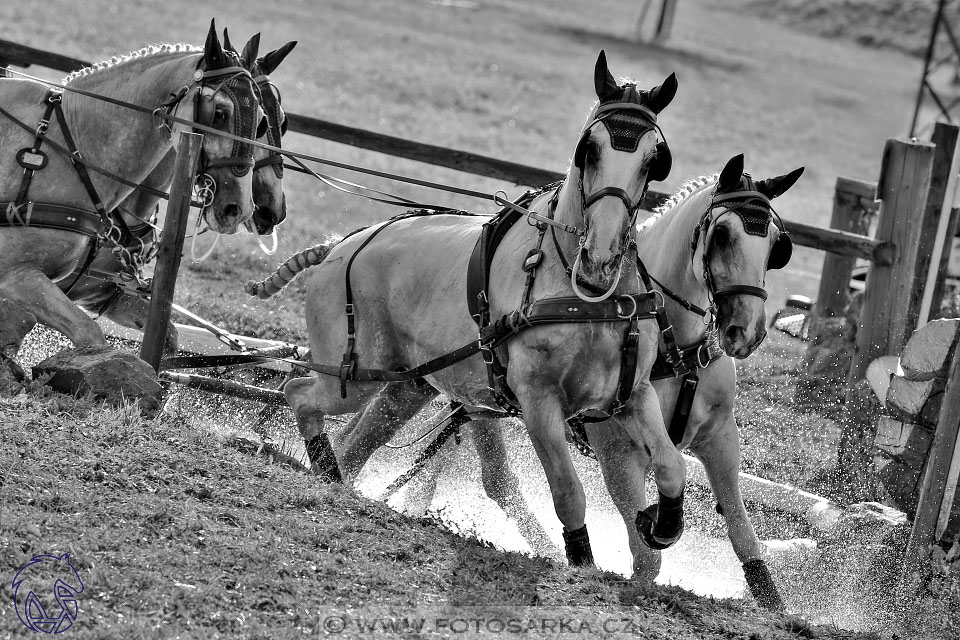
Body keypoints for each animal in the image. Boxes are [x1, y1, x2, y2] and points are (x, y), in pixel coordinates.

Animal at [251, 52, 688, 568]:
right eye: (589, 149)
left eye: (654, 160)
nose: (599, 257)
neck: (584, 295)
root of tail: (340, 245)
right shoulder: (538, 400)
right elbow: (567, 491)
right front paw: (580, 558)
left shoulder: (630, 394)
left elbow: (671, 466)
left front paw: (661, 524)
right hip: (353, 375)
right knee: (299, 391)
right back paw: (325, 472)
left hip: (405, 386)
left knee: (355, 439)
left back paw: (335, 476)